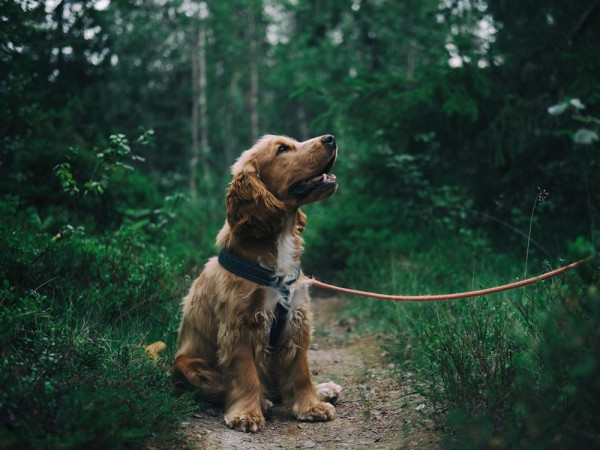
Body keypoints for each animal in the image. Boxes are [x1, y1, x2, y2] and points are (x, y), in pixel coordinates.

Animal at [173, 134, 342, 432]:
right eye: (282, 149)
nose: (330, 138)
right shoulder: (240, 324)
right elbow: (245, 374)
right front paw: (247, 414)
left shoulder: (296, 318)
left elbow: (301, 370)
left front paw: (311, 405)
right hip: (188, 364)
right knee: (222, 387)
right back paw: (263, 401)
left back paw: (323, 389)